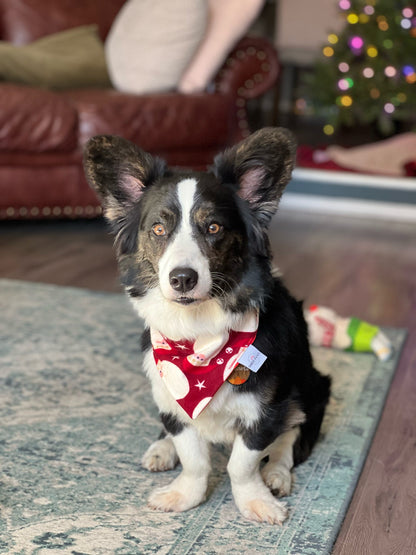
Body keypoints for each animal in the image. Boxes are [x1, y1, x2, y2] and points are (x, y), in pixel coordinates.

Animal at [83, 129, 332, 524]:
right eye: (158, 228)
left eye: (213, 227)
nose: (182, 278)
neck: (199, 339)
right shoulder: (173, 395)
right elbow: (194, 458)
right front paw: (185, 494)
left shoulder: (266, 410)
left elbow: (241, 465)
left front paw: (256, 501)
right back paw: (162, 448)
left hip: (311, 387)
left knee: (291, 437)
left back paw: (276, 474)